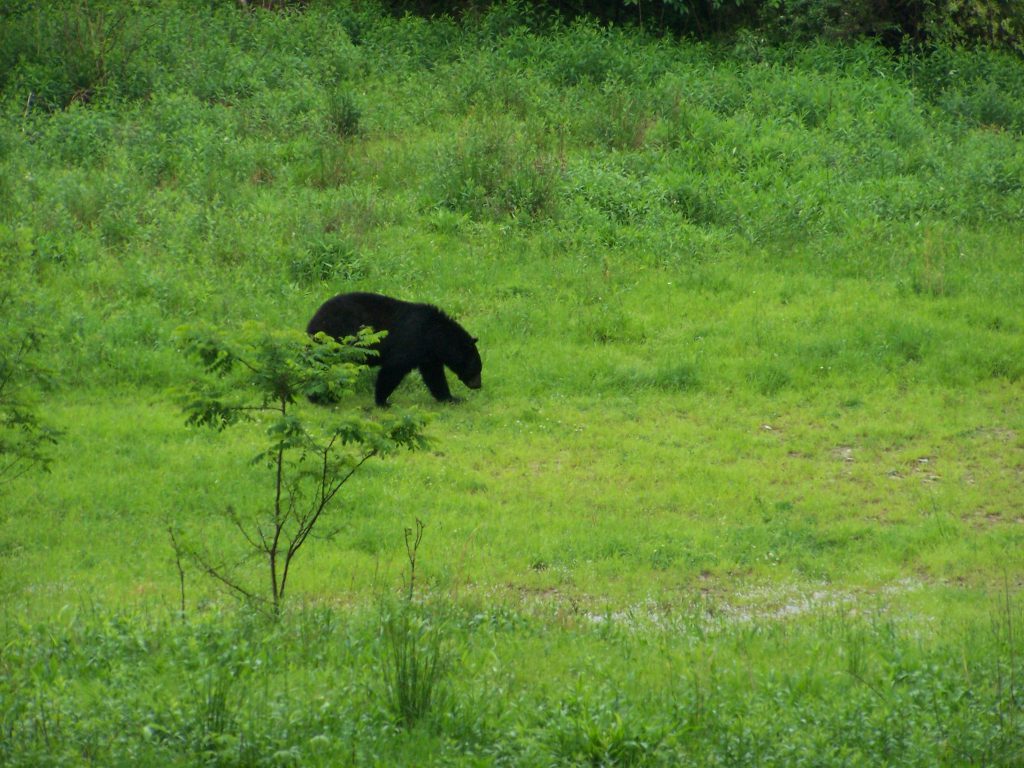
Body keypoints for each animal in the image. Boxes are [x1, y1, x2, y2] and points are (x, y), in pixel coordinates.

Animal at [305, 290, 481, 405]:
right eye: (477, 368)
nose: (478, 385)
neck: (435, 335)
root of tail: (313, 321)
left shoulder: (428, 355)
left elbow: (434, 376)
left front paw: (451, 398)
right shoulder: (411, 341)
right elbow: (393, 369)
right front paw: (382, 401)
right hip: (336, 338)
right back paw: (318, 397)